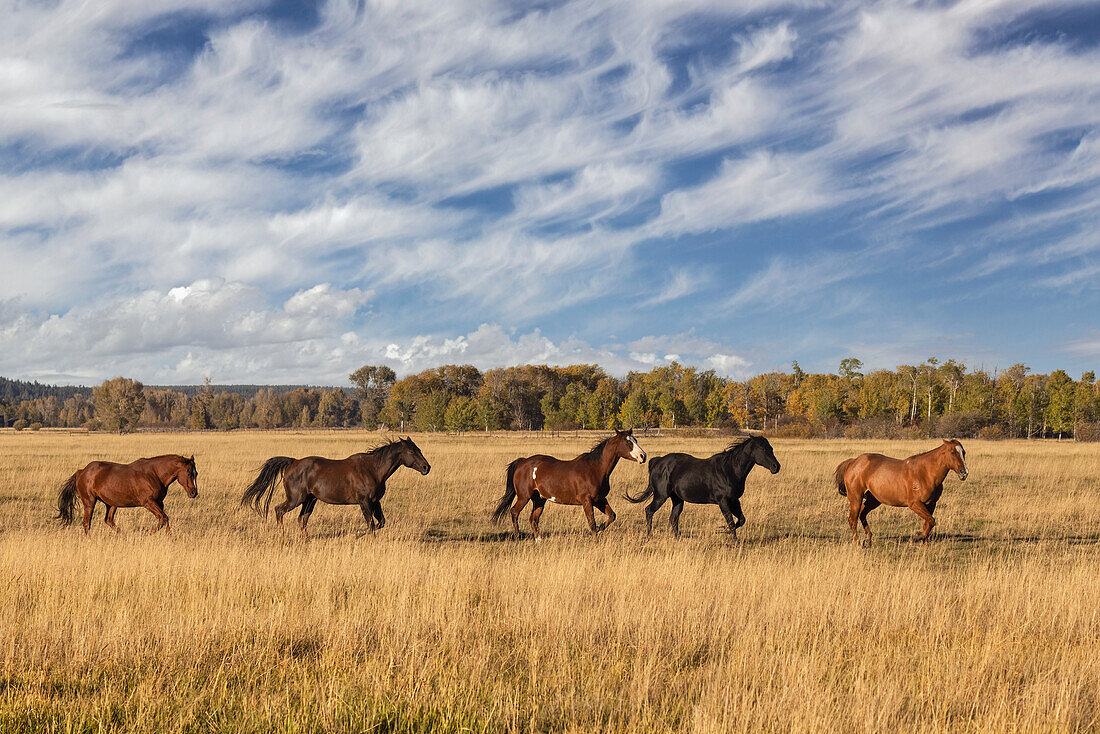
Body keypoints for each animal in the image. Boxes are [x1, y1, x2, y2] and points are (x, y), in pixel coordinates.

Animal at [55, 453, 199, 534]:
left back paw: (123, 537)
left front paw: (169, 537)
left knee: (108, 520)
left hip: (111, 504)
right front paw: (148, 534)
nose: (194, 493)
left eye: (196, 473)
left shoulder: (159, 503)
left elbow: (164, 519)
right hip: (89, 502)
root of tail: (81, 472)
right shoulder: (148, 502)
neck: (154, 473)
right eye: (188, 473)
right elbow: (163, 518)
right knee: (86, 523)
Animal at [240, 435, 429, 534]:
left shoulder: (376, 502)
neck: (373, 469)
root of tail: (292, 462)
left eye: (419, 449)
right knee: (279, 510)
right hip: (296, 499)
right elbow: (370, 524)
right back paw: (282, 534)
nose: (426, 467)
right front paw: (359, 535)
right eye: (411, 451)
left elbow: (380, 523)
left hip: (310, 500)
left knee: (302, 519)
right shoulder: (364, 502)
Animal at [490, 431, 642, 539]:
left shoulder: (599, 499)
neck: (595, 468)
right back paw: (517, 536)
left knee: (533, 518)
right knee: (514, 512)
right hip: (524, 496)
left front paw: (599, 529)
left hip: (539, 499)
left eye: (636, 440)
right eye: (628, 442)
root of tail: (523, 462)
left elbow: (611, 516)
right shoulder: (587, 501)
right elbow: (592, 523)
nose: (643, 456)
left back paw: (538, 540)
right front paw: (595, 537)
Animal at [629, 435, 783, 539]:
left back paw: (677, 538)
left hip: (677, 499)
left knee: (673, 518)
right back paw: (649, 536)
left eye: (771, 448)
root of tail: (658, 461)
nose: (776, 467)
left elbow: (741, 520)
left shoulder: (734, 500)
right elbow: (731, 522)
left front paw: (724, 531)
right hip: (661, 496)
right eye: (762, 448)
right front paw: (734, 541)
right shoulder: (723, 501)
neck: (729, 470)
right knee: (649, 511)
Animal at [836, 435, 968, 545]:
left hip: (874, 500)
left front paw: (924, 541)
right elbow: (931, 521)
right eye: (952, 452)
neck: (925, 473)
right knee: (852, 519)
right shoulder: (914, 504)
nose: (964, 472)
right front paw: (918, 537)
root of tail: (853, 462)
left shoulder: (931, 504)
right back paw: (857, 542)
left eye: (963, 452)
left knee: (862, 514)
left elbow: (927, 522)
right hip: (856, 498)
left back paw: (868, 539)